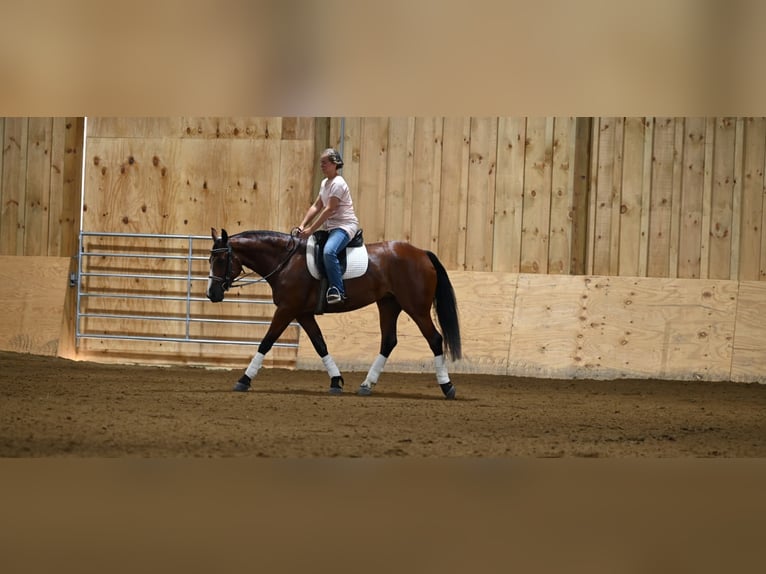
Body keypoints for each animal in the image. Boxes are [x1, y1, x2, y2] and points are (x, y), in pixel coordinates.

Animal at [204, 228, 464, 400]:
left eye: (221, 259)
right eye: (210, 259)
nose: (211, 293)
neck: (286, 261)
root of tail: (422, 253)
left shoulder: (287, 309)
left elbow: (266, 342)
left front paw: (243, 380)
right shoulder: (303, 314)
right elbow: (320, 345)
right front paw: (336, 381)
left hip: (416, 308)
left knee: (435, 339)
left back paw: (447, 387)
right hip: (389, 304)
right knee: (389, 341)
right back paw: (366, 385)